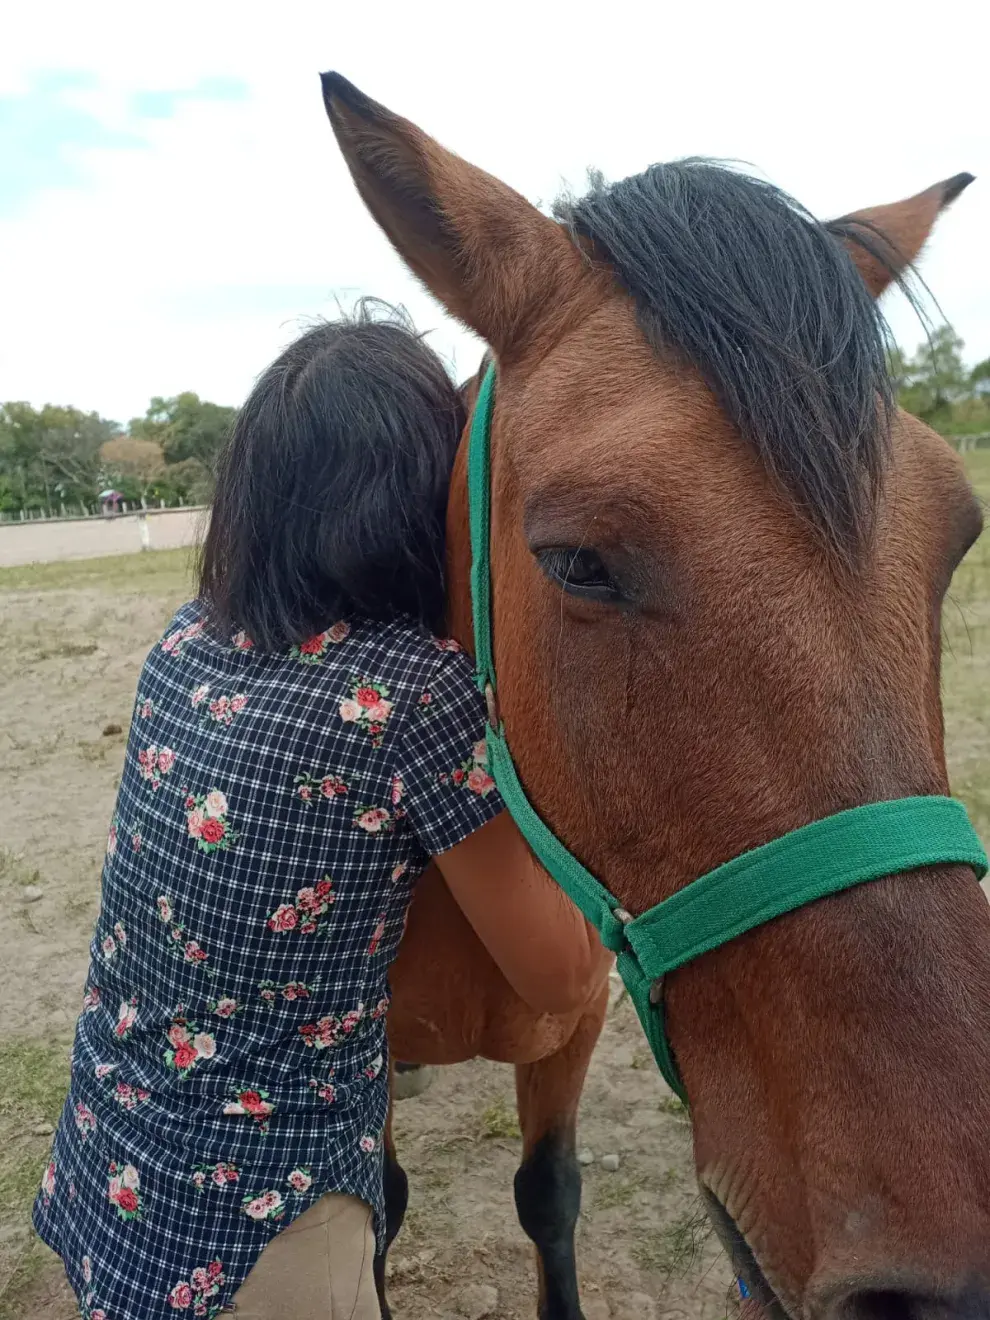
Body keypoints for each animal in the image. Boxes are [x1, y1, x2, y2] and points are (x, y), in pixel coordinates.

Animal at [322, 72, 987, 1320]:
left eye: (959, 534)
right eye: (577, 561)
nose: (950, 1283)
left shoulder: (575, 1025)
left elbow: (549, 1195)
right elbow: (370, 1210)